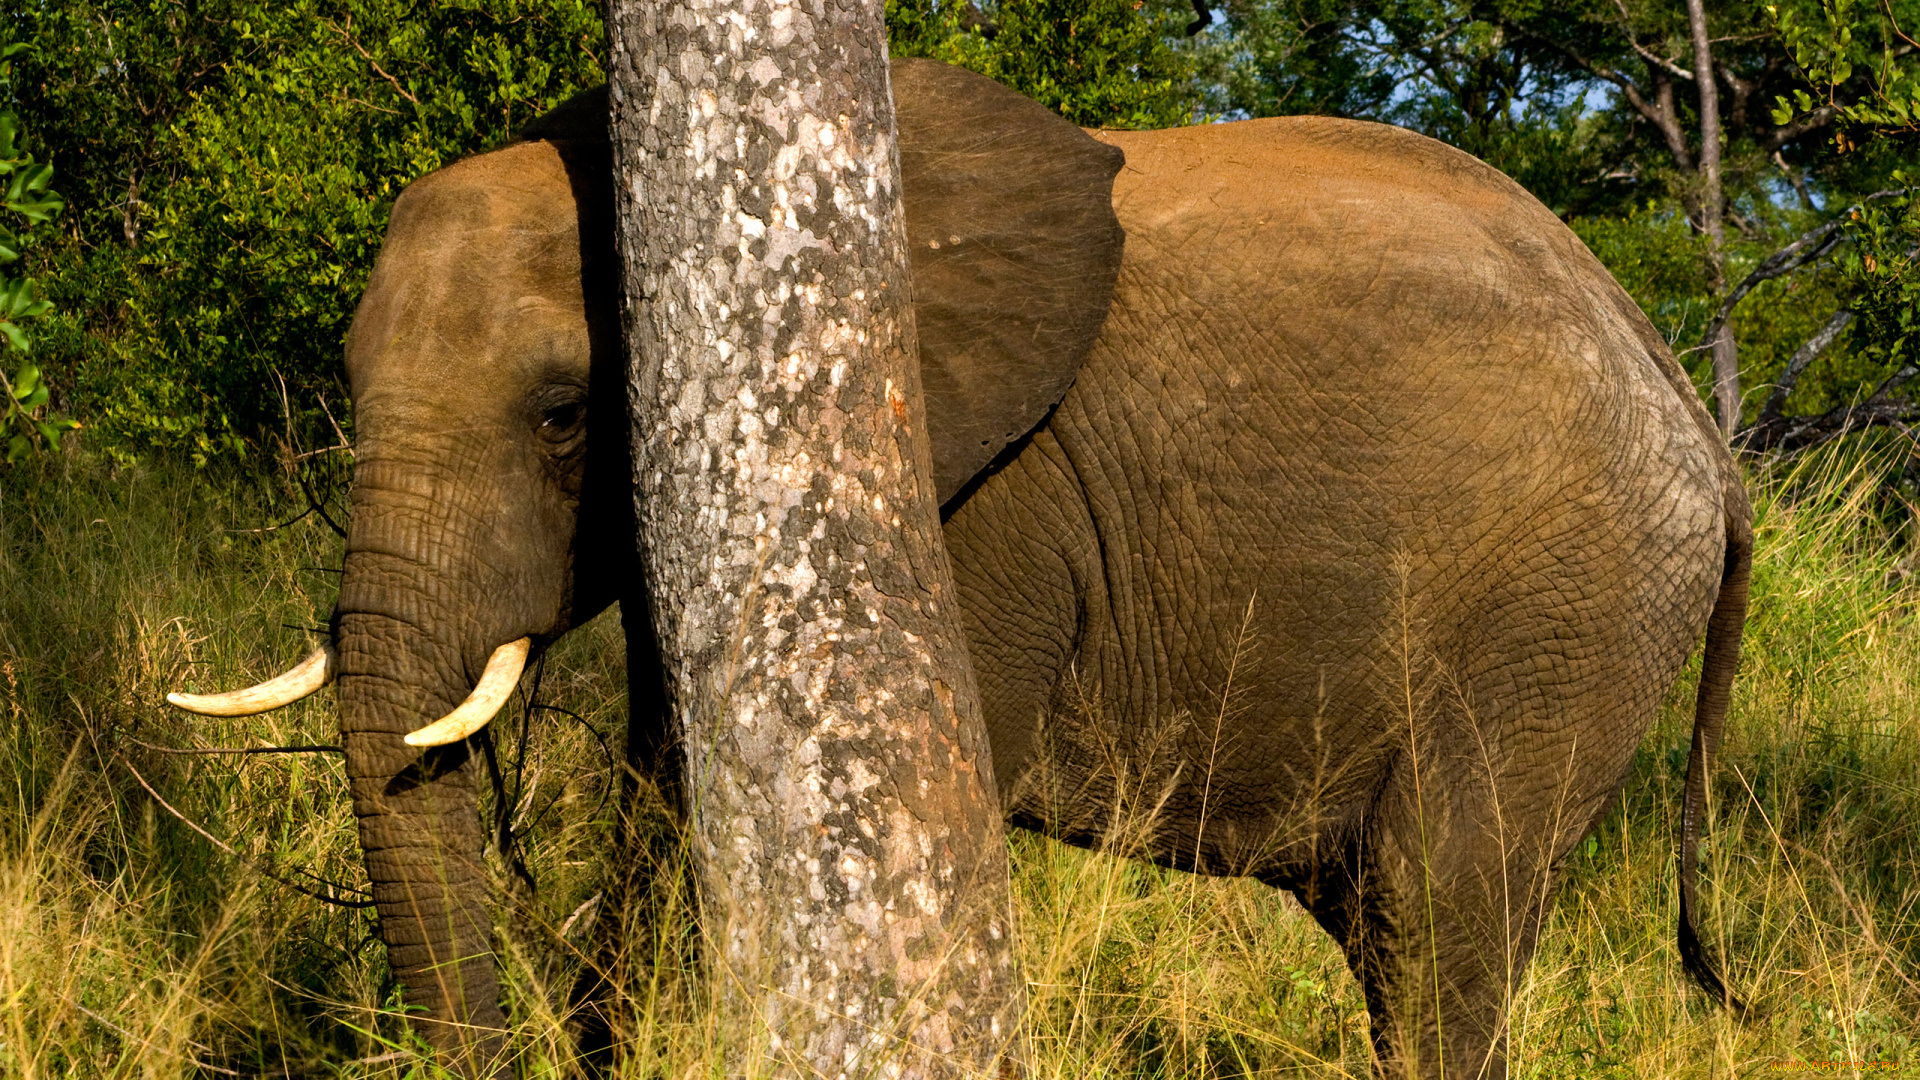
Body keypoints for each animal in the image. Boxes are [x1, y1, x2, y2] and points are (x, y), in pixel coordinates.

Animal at [172, 58, 1751, 1076]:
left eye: (565, 416)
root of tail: (1694, 412)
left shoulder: (967, 495)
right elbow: (662, 781)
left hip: (1566, 610)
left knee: (1431, 914)